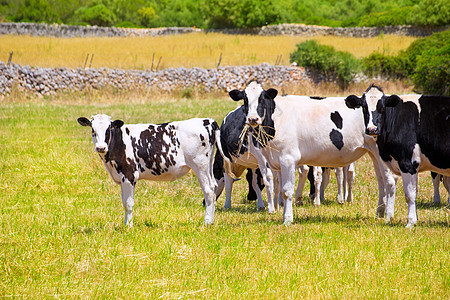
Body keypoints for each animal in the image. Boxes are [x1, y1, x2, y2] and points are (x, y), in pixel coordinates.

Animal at [77, 113, 230, 226]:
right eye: (93, 130)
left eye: (108, 130)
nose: (100, 147)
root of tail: (207, 121)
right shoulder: (121, 177)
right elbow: (124, 202)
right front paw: (126, 224)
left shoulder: (129, 175)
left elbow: (128, 203)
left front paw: (128, 227)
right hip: (208, 165)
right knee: (214, 187)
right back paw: (211, 220)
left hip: (200, 165)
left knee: (208, 190)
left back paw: (207, 222)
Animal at [227, 82, 396, 225]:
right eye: (245, 99)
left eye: (262, 99)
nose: (253, 119)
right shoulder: (276, 162)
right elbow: (279, 189)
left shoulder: (288, 159)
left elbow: (287, 191)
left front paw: (287, 219)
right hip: (375, 155)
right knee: (381, 181)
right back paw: (380, 211)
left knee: (390, 181)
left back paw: (388, 216)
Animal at [344, 90, 450, 226]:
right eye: (364, 106)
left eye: (382, 107)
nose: (372, 129)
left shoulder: (407, 163)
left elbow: (409, 194)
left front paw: (410, 222)